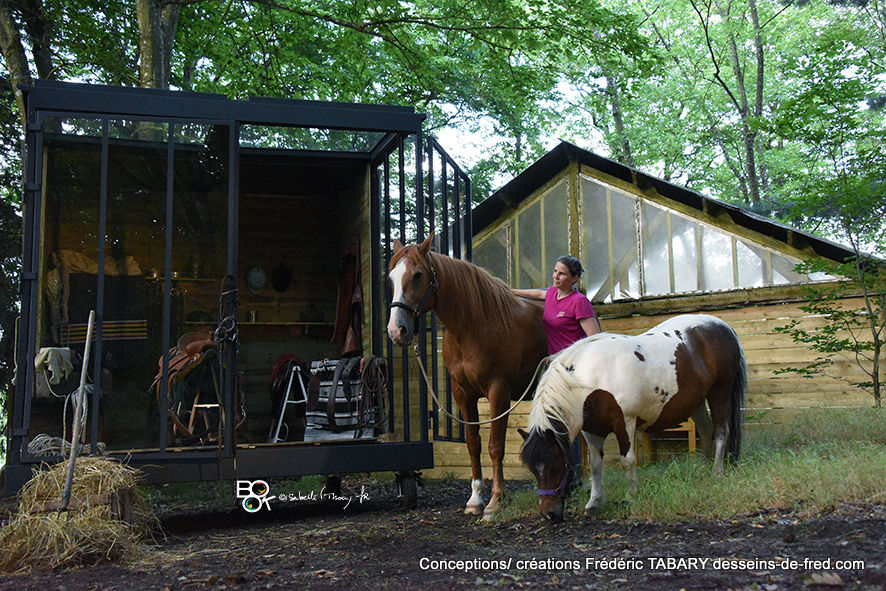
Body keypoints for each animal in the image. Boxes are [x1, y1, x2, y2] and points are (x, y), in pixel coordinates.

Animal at [388, 236, 548, 520]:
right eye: (391, 278)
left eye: (418, 275)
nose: (397, 331)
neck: (474, 326)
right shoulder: (462, 393)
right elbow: (473, 444)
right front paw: (475, 500)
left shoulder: (498, 392)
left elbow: (495, 446)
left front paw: (495, 501)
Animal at [520, 314, 748, 524]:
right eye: (533, 470)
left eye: (555, 468)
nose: (549, 514)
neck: (590, 379)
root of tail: (724, 326)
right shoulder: (591, 430)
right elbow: (595, 465)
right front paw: (594, 502)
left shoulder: (625, 422)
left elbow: (627, 460)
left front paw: (630, 497)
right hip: (697, 401)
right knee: (706, 430)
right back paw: (701, 469)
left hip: (720, 392)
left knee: (721, 431)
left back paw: (717, 471)